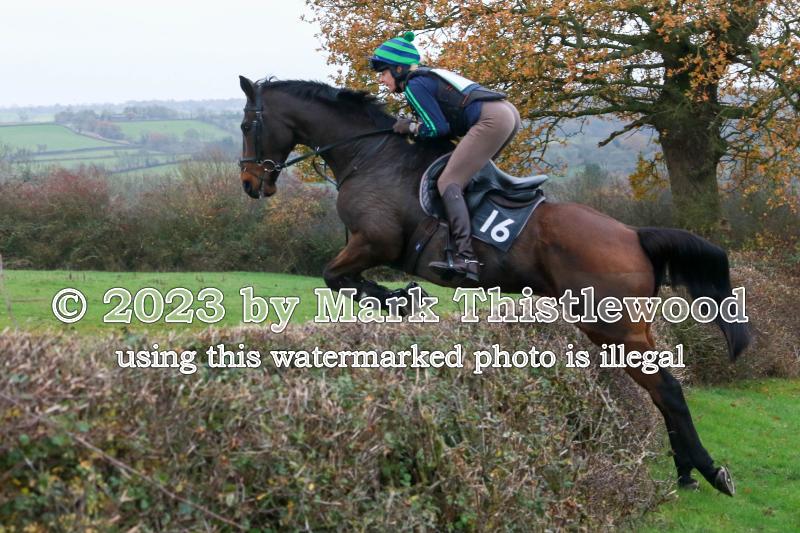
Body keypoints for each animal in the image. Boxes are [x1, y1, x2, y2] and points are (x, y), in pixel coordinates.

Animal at [237, 75, 750, 496]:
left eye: (246, 124)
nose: (248, 183)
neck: (370, 155)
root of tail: (633, 235)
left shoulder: (375, 242)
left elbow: (336, 277)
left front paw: (405, 299)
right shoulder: (366, 247)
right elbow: (344, 279)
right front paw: (404, 299)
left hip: (613, 328)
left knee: (668, 389)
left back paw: (711, 472)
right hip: (626, 329)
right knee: (660, 390)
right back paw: (685, 470)